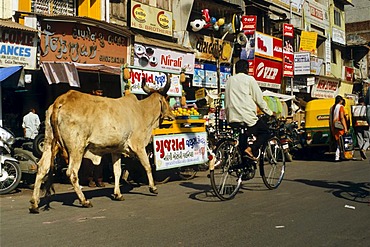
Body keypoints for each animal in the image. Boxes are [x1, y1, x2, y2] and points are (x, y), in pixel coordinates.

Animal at [28, 80, 175, 213]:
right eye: (167, 99)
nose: (172, 116)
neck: (142, 111)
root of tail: (61, 100)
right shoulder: (138, 145)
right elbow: (147, 166)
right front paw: (153, 188)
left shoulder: (116, 150)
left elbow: (117, 171)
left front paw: (118, 194)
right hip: (76, 148)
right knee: (72, 172)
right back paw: (84, 201)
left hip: (49, 143)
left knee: (42, 168)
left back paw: (34, 204)